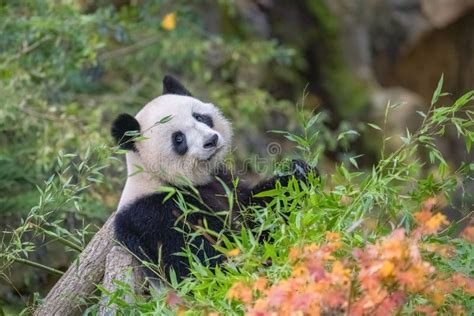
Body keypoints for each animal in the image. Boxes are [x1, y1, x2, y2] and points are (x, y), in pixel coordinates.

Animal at [112, 76, 316, 282]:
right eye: (178, 138)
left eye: (199, 117)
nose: (211, 140)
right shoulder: (157, 215)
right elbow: (206, 262)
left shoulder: (222, 180)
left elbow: (256, 208)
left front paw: (297, 174)